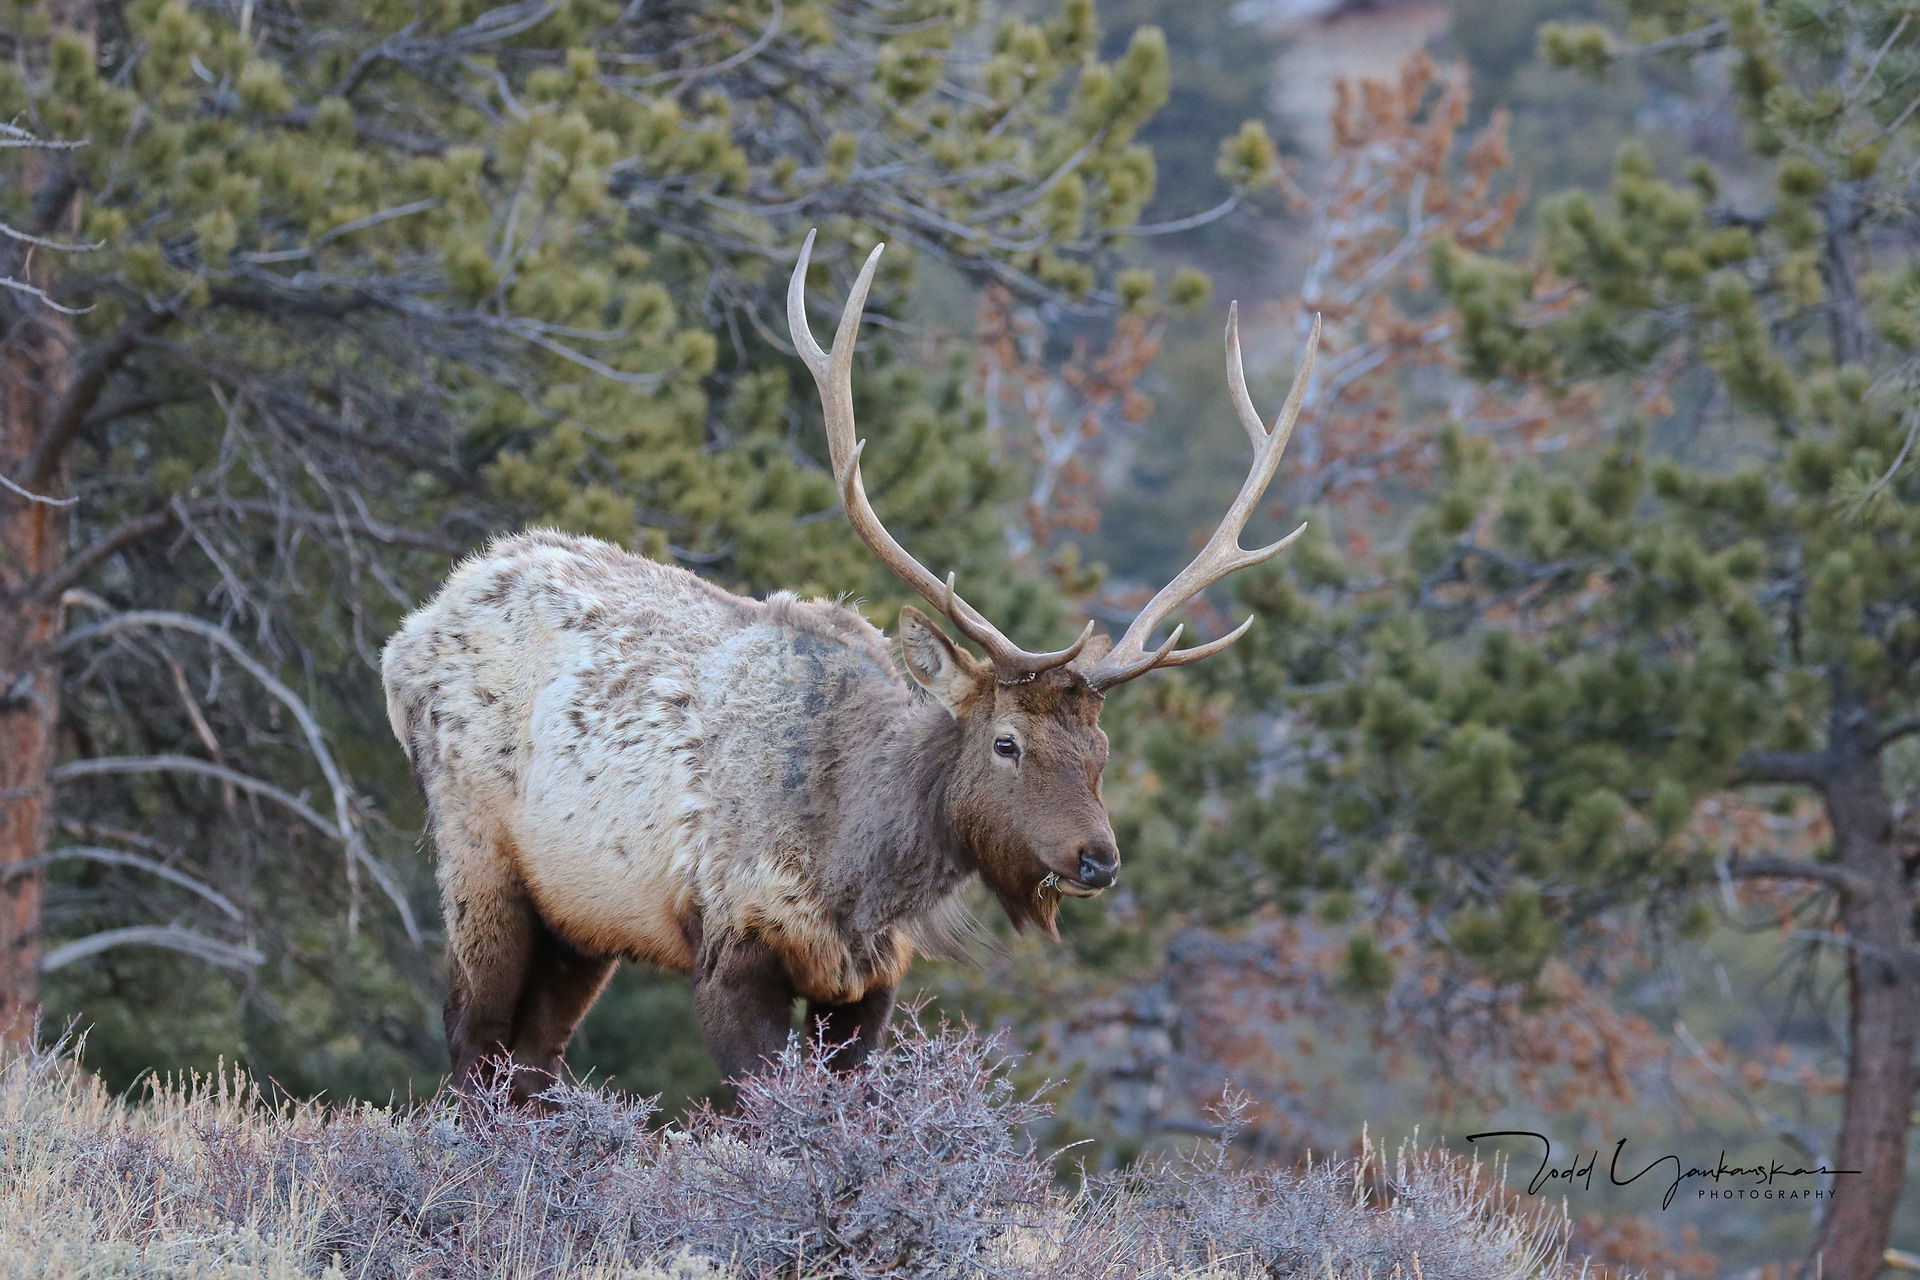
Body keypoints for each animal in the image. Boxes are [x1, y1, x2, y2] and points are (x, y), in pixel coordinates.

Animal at [381, 231, 1319, 1100]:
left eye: (1102, 752)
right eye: (1006, 743)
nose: (1098, 860)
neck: (856, 873)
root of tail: (407, 636)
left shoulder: (869, 982)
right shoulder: (732, 944)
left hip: (581, 916)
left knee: (532, 1060)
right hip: (477, 857)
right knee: (473, 1043)